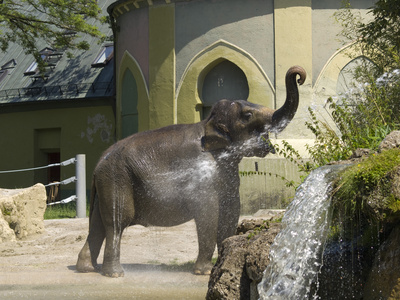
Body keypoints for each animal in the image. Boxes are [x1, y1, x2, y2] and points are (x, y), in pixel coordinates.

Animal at [76, 65, 306, 276]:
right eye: (248, 115)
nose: (299, 75)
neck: (208, 124)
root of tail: (97, 165)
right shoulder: (202, 172)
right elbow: (208, 212)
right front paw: (204, 271)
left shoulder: (227, 172)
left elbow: (231, 209)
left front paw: (223, 261)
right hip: (117, 179)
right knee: (117, 222)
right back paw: (115, 273)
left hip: (107, 184)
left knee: (98, 224)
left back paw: (87, 269)